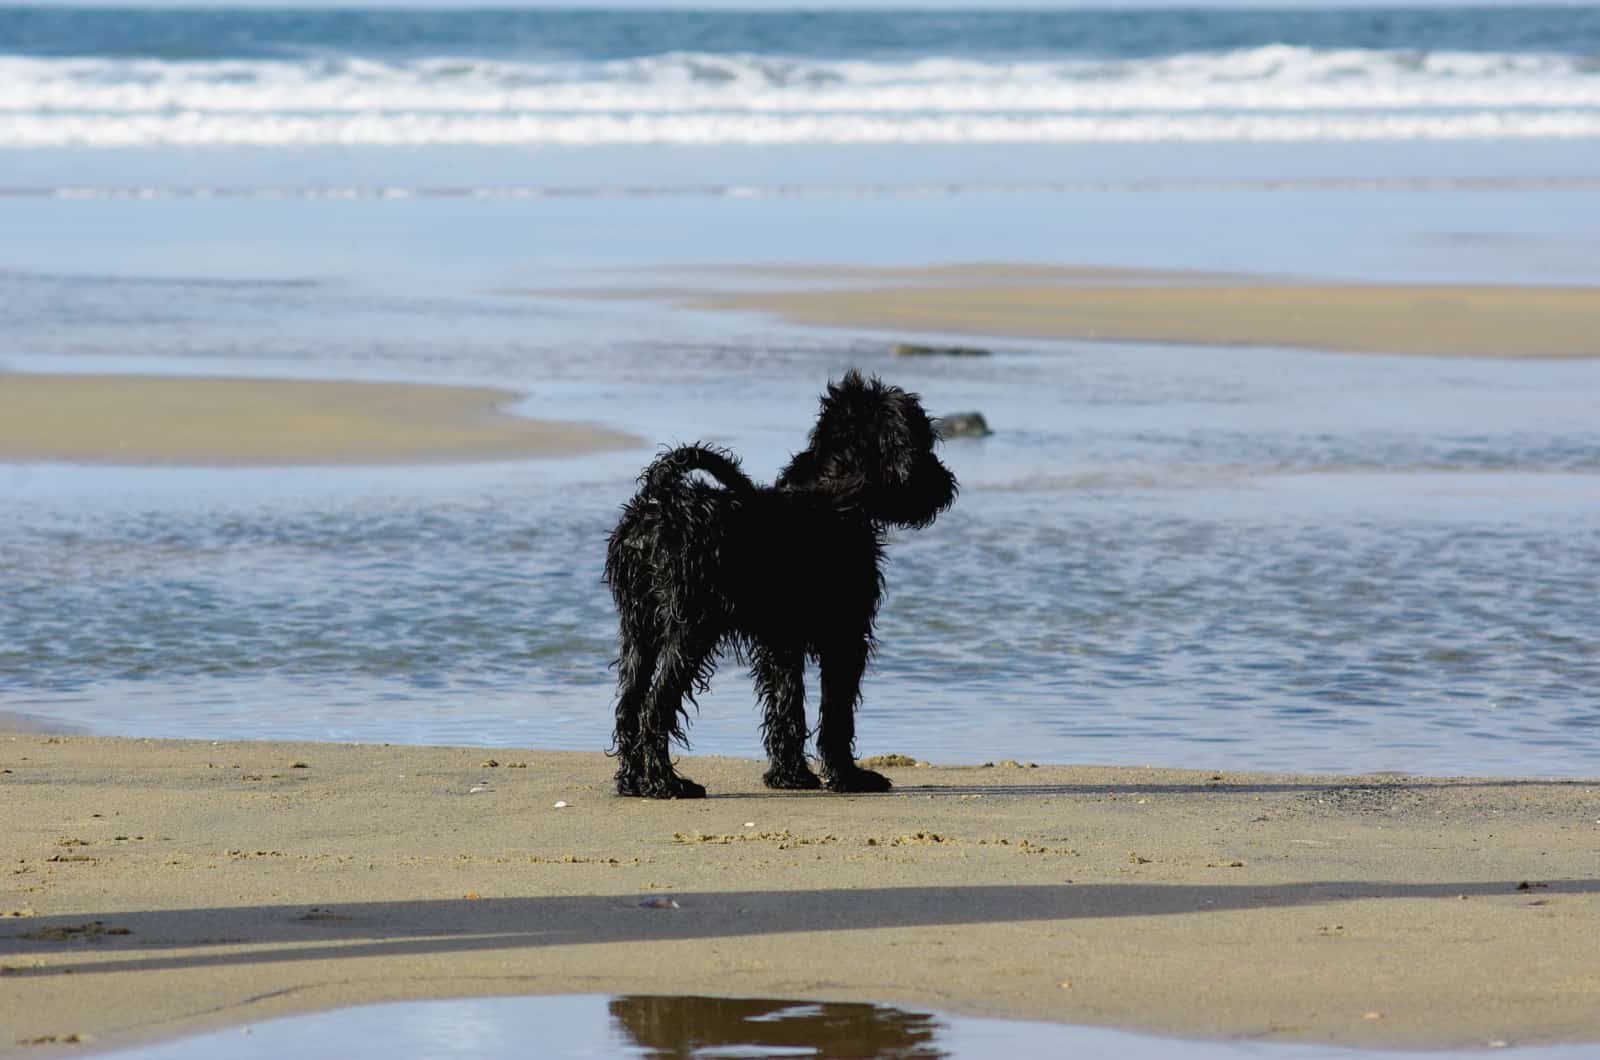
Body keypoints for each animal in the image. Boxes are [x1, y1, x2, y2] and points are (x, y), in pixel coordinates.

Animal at [601, 371, 947, 797]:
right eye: (923, 440)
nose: (946, 484)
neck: (836, 495)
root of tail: (660, 504)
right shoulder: (844, 636)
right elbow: (836, 713)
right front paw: (848, 777)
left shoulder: (782, 642)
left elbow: (787, 705)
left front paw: (791, 776)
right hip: (690, 629)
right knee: (655, 707)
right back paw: (666, 782)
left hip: (638, 627)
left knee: (628, 706)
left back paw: (632, 781)